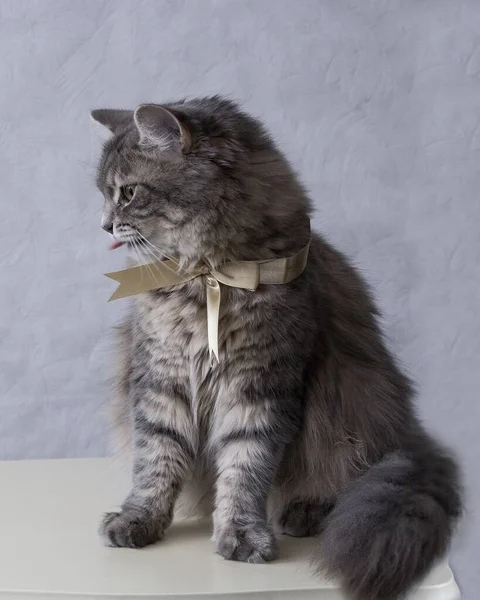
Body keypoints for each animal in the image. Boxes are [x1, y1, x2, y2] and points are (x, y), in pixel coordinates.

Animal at [92, 98, 464, 600]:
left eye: (128, 192)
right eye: (105, 193)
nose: (104, 224)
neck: (208, 276)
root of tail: (408, 435)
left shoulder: (261, 389)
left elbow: (244, 469)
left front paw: (242, 535)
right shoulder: (160, 381)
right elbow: (155, 461)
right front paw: (139, 521)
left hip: (357, 409)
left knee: (344, 476)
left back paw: (304, 512)